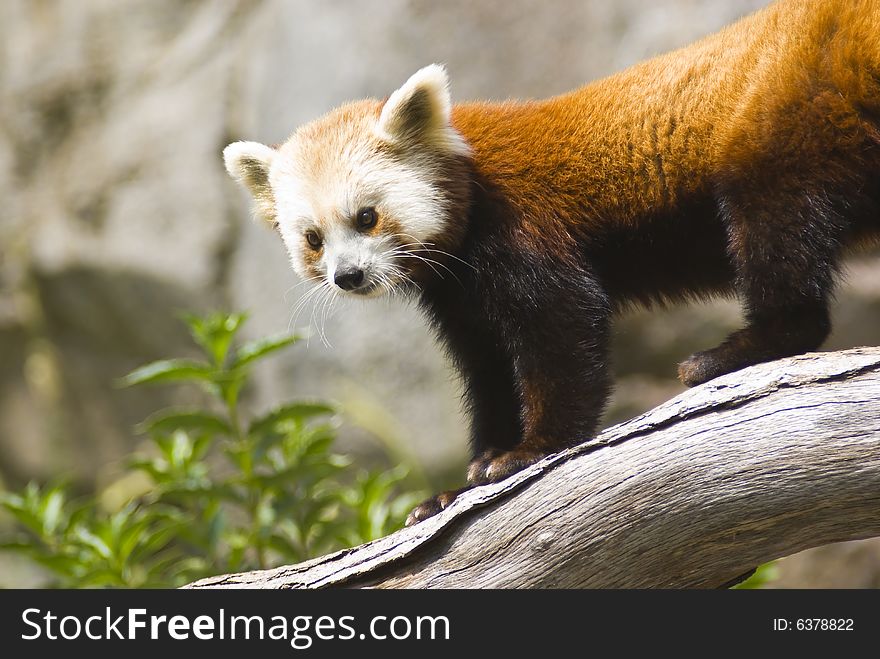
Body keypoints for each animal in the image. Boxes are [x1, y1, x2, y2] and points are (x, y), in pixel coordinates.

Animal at [222, 0, 880, 524]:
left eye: (366, 218)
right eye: (312, 239)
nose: (348, 277)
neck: (471, 188)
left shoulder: (523, 228)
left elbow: (563, 330)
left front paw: (532, 449)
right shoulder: (460, 298)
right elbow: (488, 372)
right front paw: (458, 483)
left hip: (786, 122)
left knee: (779, 238)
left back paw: (733, 351)